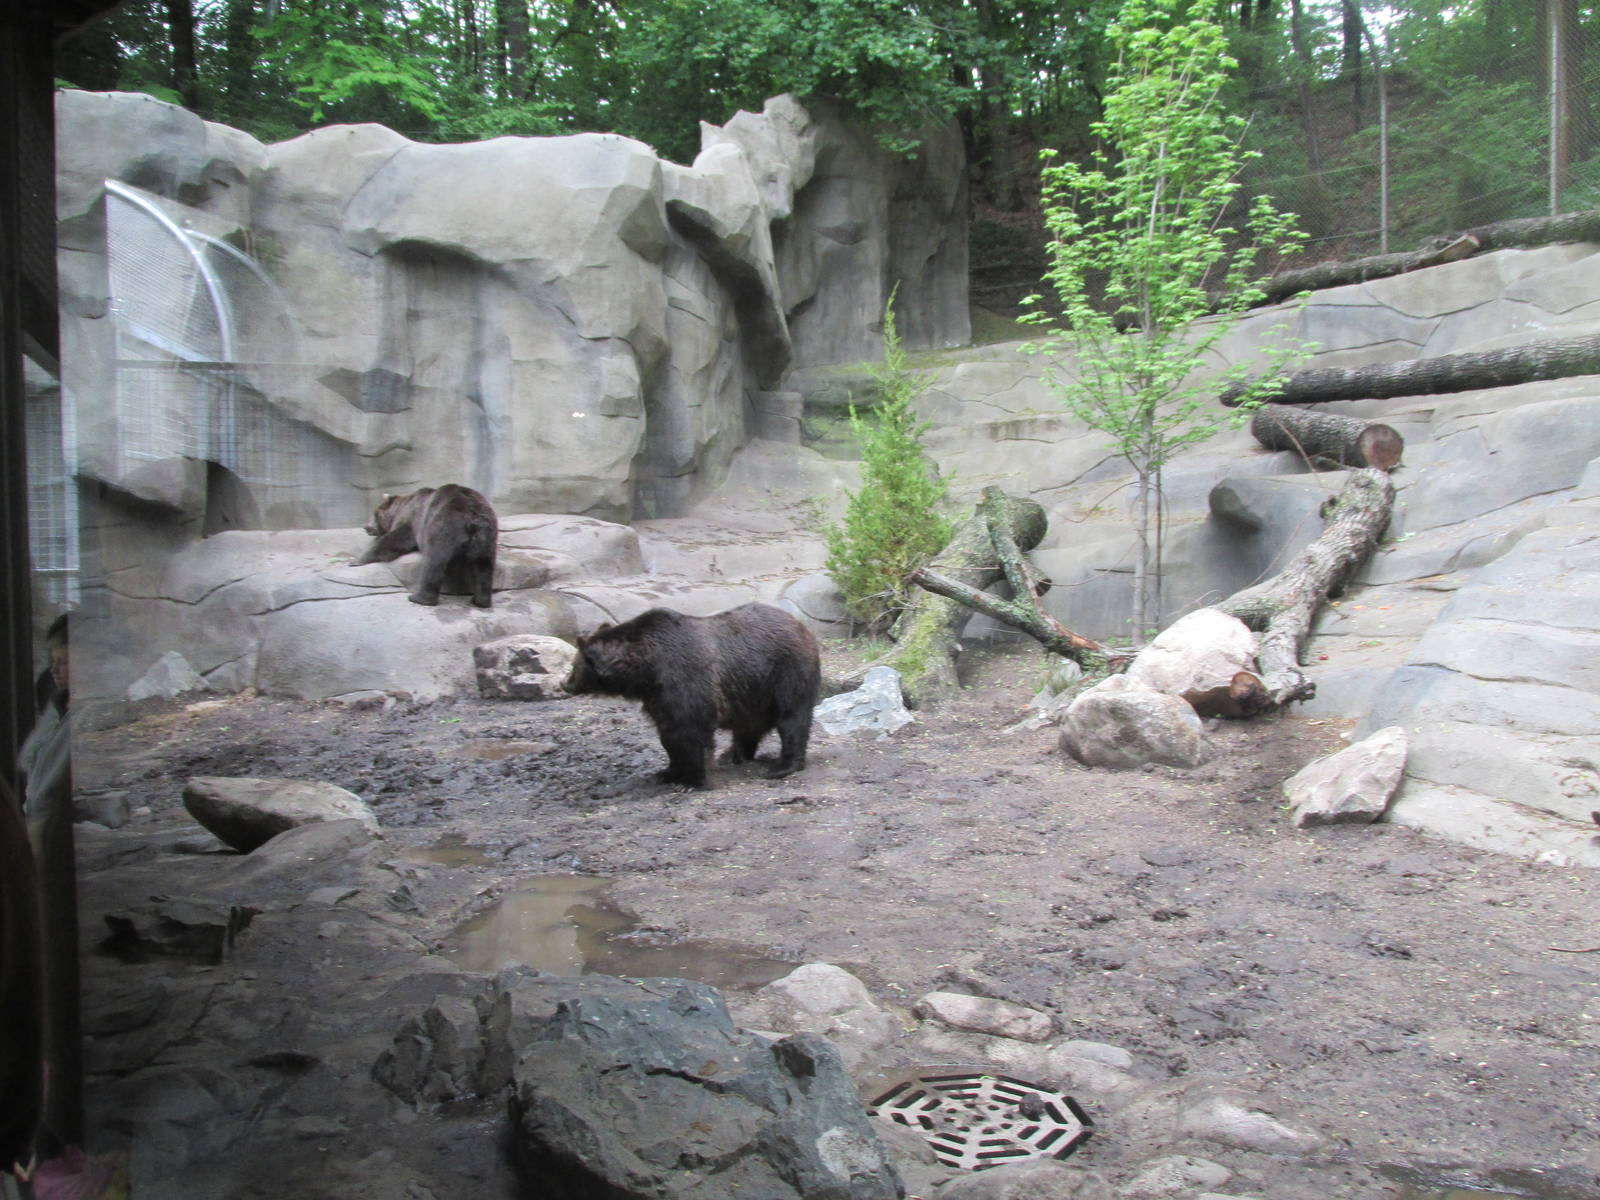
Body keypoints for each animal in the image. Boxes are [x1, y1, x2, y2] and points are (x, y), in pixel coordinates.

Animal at [354, 484, 499, 608]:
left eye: (375, 513)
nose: (366, 526)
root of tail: (473, 516)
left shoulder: (413, 519)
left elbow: (396, 539)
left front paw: (357, 560)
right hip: (488, 535)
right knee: (484, 566)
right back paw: (480, 600)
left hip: (442, 526)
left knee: (434, 562)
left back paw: (419, 598)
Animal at [562, 603, 821, 789]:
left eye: (574, 665)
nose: (564, 684)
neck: (646, 669)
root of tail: (800, 624)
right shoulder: (658, 697)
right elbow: (669, 735)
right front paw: (667, 772)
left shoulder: (685, 678)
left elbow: (692, 731)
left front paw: (693, 781)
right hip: (752, 688)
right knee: (748, 725)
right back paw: (733, 755)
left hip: (786, 670)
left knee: (792, 717)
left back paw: (782, 766)